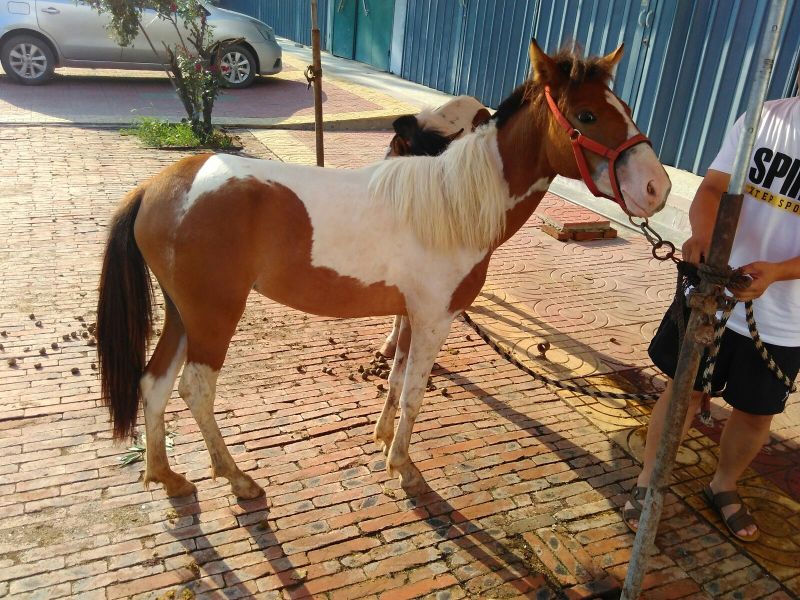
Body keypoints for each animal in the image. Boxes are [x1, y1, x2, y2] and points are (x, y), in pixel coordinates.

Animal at [96, 40, 671, 499]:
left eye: (626, 108)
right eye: (586, 116)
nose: (656, 188)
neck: (454, 204)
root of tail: (159, 186)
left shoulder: (411, 315)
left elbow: (396, 379)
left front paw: (380, 437)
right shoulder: (436, 319)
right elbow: (415, 391)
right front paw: (404, 467)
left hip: (182, 315)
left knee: (154, 383)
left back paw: (166, 476)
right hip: (214, 316)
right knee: (194, 389)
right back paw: (238, 480)